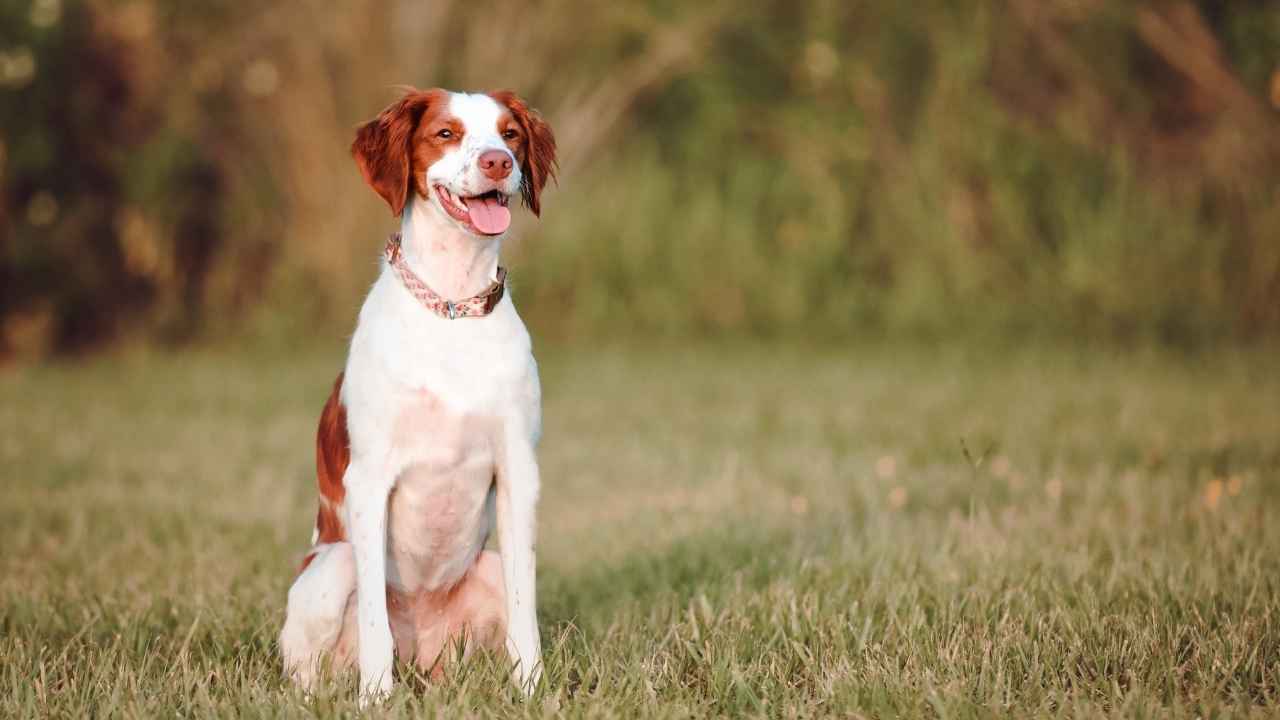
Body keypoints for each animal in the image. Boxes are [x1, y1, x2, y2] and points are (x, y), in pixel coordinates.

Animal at [280, 87, 555, 696]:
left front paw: (532, 690)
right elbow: (373, 626)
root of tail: (423, 657)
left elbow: (526, 611)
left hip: (485, 570)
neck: (451, 307)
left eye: (510, 133)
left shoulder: (519, 470)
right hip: (332, 564)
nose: (497, 162)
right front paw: (375, 698)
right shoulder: (369, 478)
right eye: (445, 134)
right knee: (306, 667)